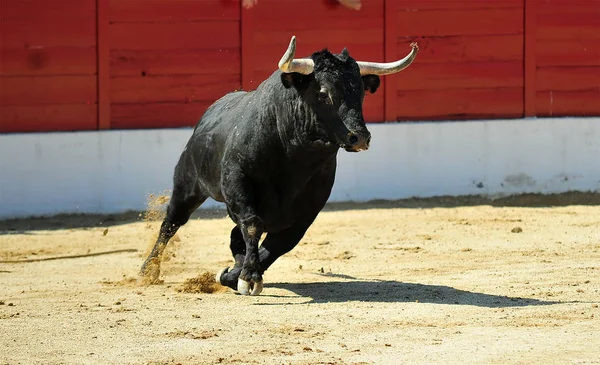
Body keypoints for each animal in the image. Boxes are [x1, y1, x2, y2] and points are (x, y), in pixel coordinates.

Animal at [140, 35, 418, 294]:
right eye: (323, 93)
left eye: (361, 93)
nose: (359, 137)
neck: (294, 156)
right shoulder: (237, 182)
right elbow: (252, 225)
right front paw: (248, 277)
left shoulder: (309, 207)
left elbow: (280, 243)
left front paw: (236, 274)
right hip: (187, 184)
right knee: (172, 222)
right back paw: (148, 270)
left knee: (235, 235)